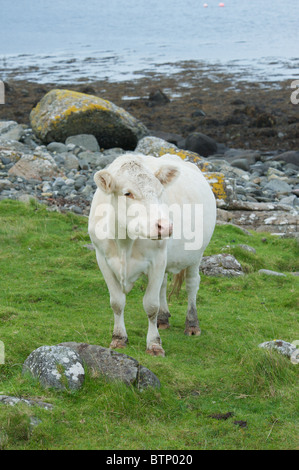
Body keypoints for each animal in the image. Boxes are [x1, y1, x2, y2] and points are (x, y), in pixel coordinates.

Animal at [88, 154, 217, 356]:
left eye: (159, 192)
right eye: (128, 193)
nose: (165, 226)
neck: (124, 242)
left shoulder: (157, 260)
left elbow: (151, 305)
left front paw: (154, 344)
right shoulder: (102, 259)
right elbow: (117, 302)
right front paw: (118, 338)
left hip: (196, 255)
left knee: (192, 285)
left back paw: (192, 325)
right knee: (163, 285)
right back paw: (163, 320)